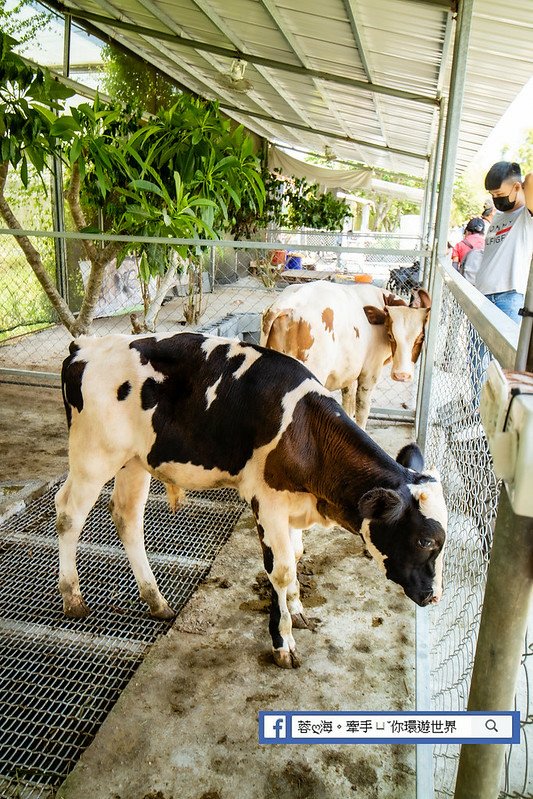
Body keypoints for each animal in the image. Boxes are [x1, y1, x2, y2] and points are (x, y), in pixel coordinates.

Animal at [56, 332, 444, 668]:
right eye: (425, 541)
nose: (434, 597)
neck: (306, 432)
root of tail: (84, 345)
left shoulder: (293, 505)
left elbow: (296, 556)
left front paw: (297, 609)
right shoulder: (268, 503)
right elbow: (281, 571)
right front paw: (282, 641)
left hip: (134, 461)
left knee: (127, 519)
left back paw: (156, 600)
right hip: (93, 457)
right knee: (68, 514)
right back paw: (73, 598)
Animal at [260, 282, 430, 432]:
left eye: (421, 337)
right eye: (390, 335)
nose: (402, 375)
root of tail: (289, 302)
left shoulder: (348, 373)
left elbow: (348, 404)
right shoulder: (369, 372)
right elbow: (362, 408)